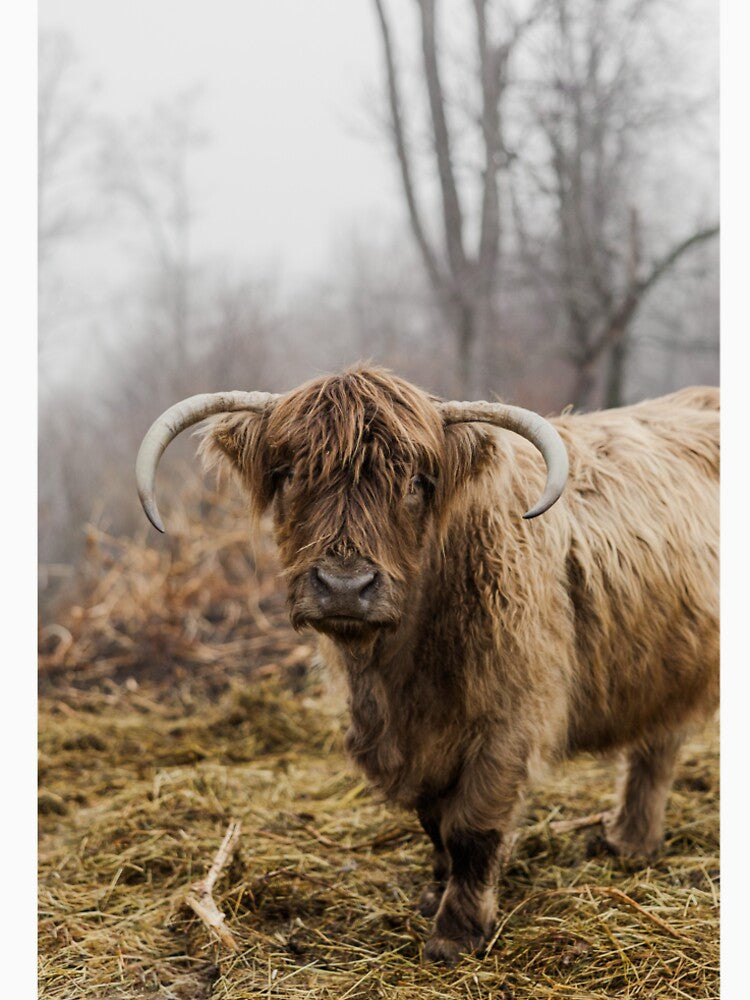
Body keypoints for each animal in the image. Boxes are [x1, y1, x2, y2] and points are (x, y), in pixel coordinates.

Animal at [136, 365, 719, 964]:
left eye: (416, 483)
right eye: (292, 474)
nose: (345, 585)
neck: (404, 672)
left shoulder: (511, 721)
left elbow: (471, 828)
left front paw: (456, 933)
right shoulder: (413, 741)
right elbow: (434, 820)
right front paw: (434, 894)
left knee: (658, 751)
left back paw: (631, 844)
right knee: (656, 748)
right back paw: (629, 840)